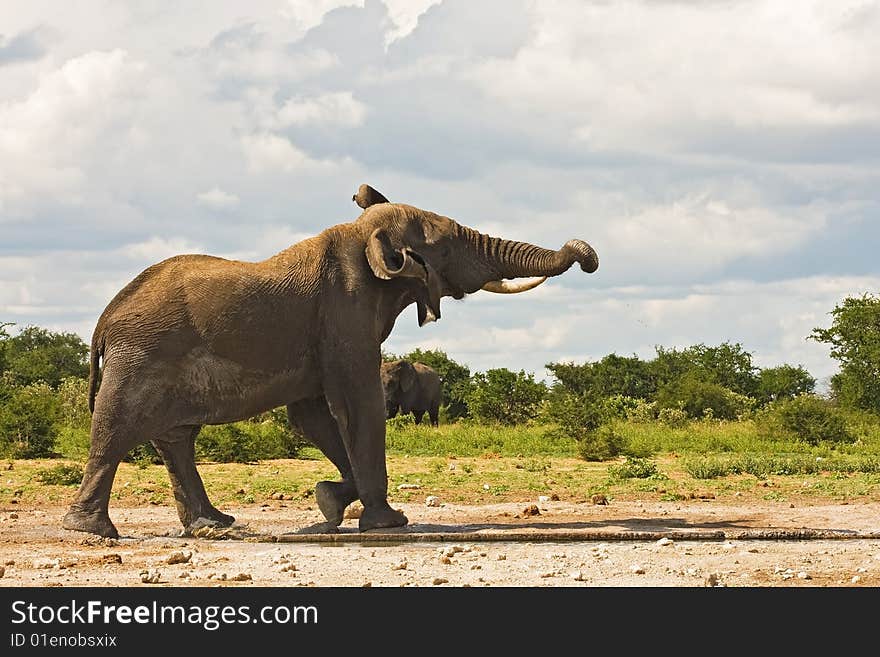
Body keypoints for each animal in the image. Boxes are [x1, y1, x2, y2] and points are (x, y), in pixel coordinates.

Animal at [62, 182, 600, 536]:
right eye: (446, 246)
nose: (586, 253)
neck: (360, 237)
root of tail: (105, 320)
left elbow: (312, 415)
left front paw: (331, 503)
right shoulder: (345, 311)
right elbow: (358, 404)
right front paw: (388, 523)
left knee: (176, 438)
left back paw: (214, 525)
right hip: (142, 356)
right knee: (117, 428)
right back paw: (91, 532)